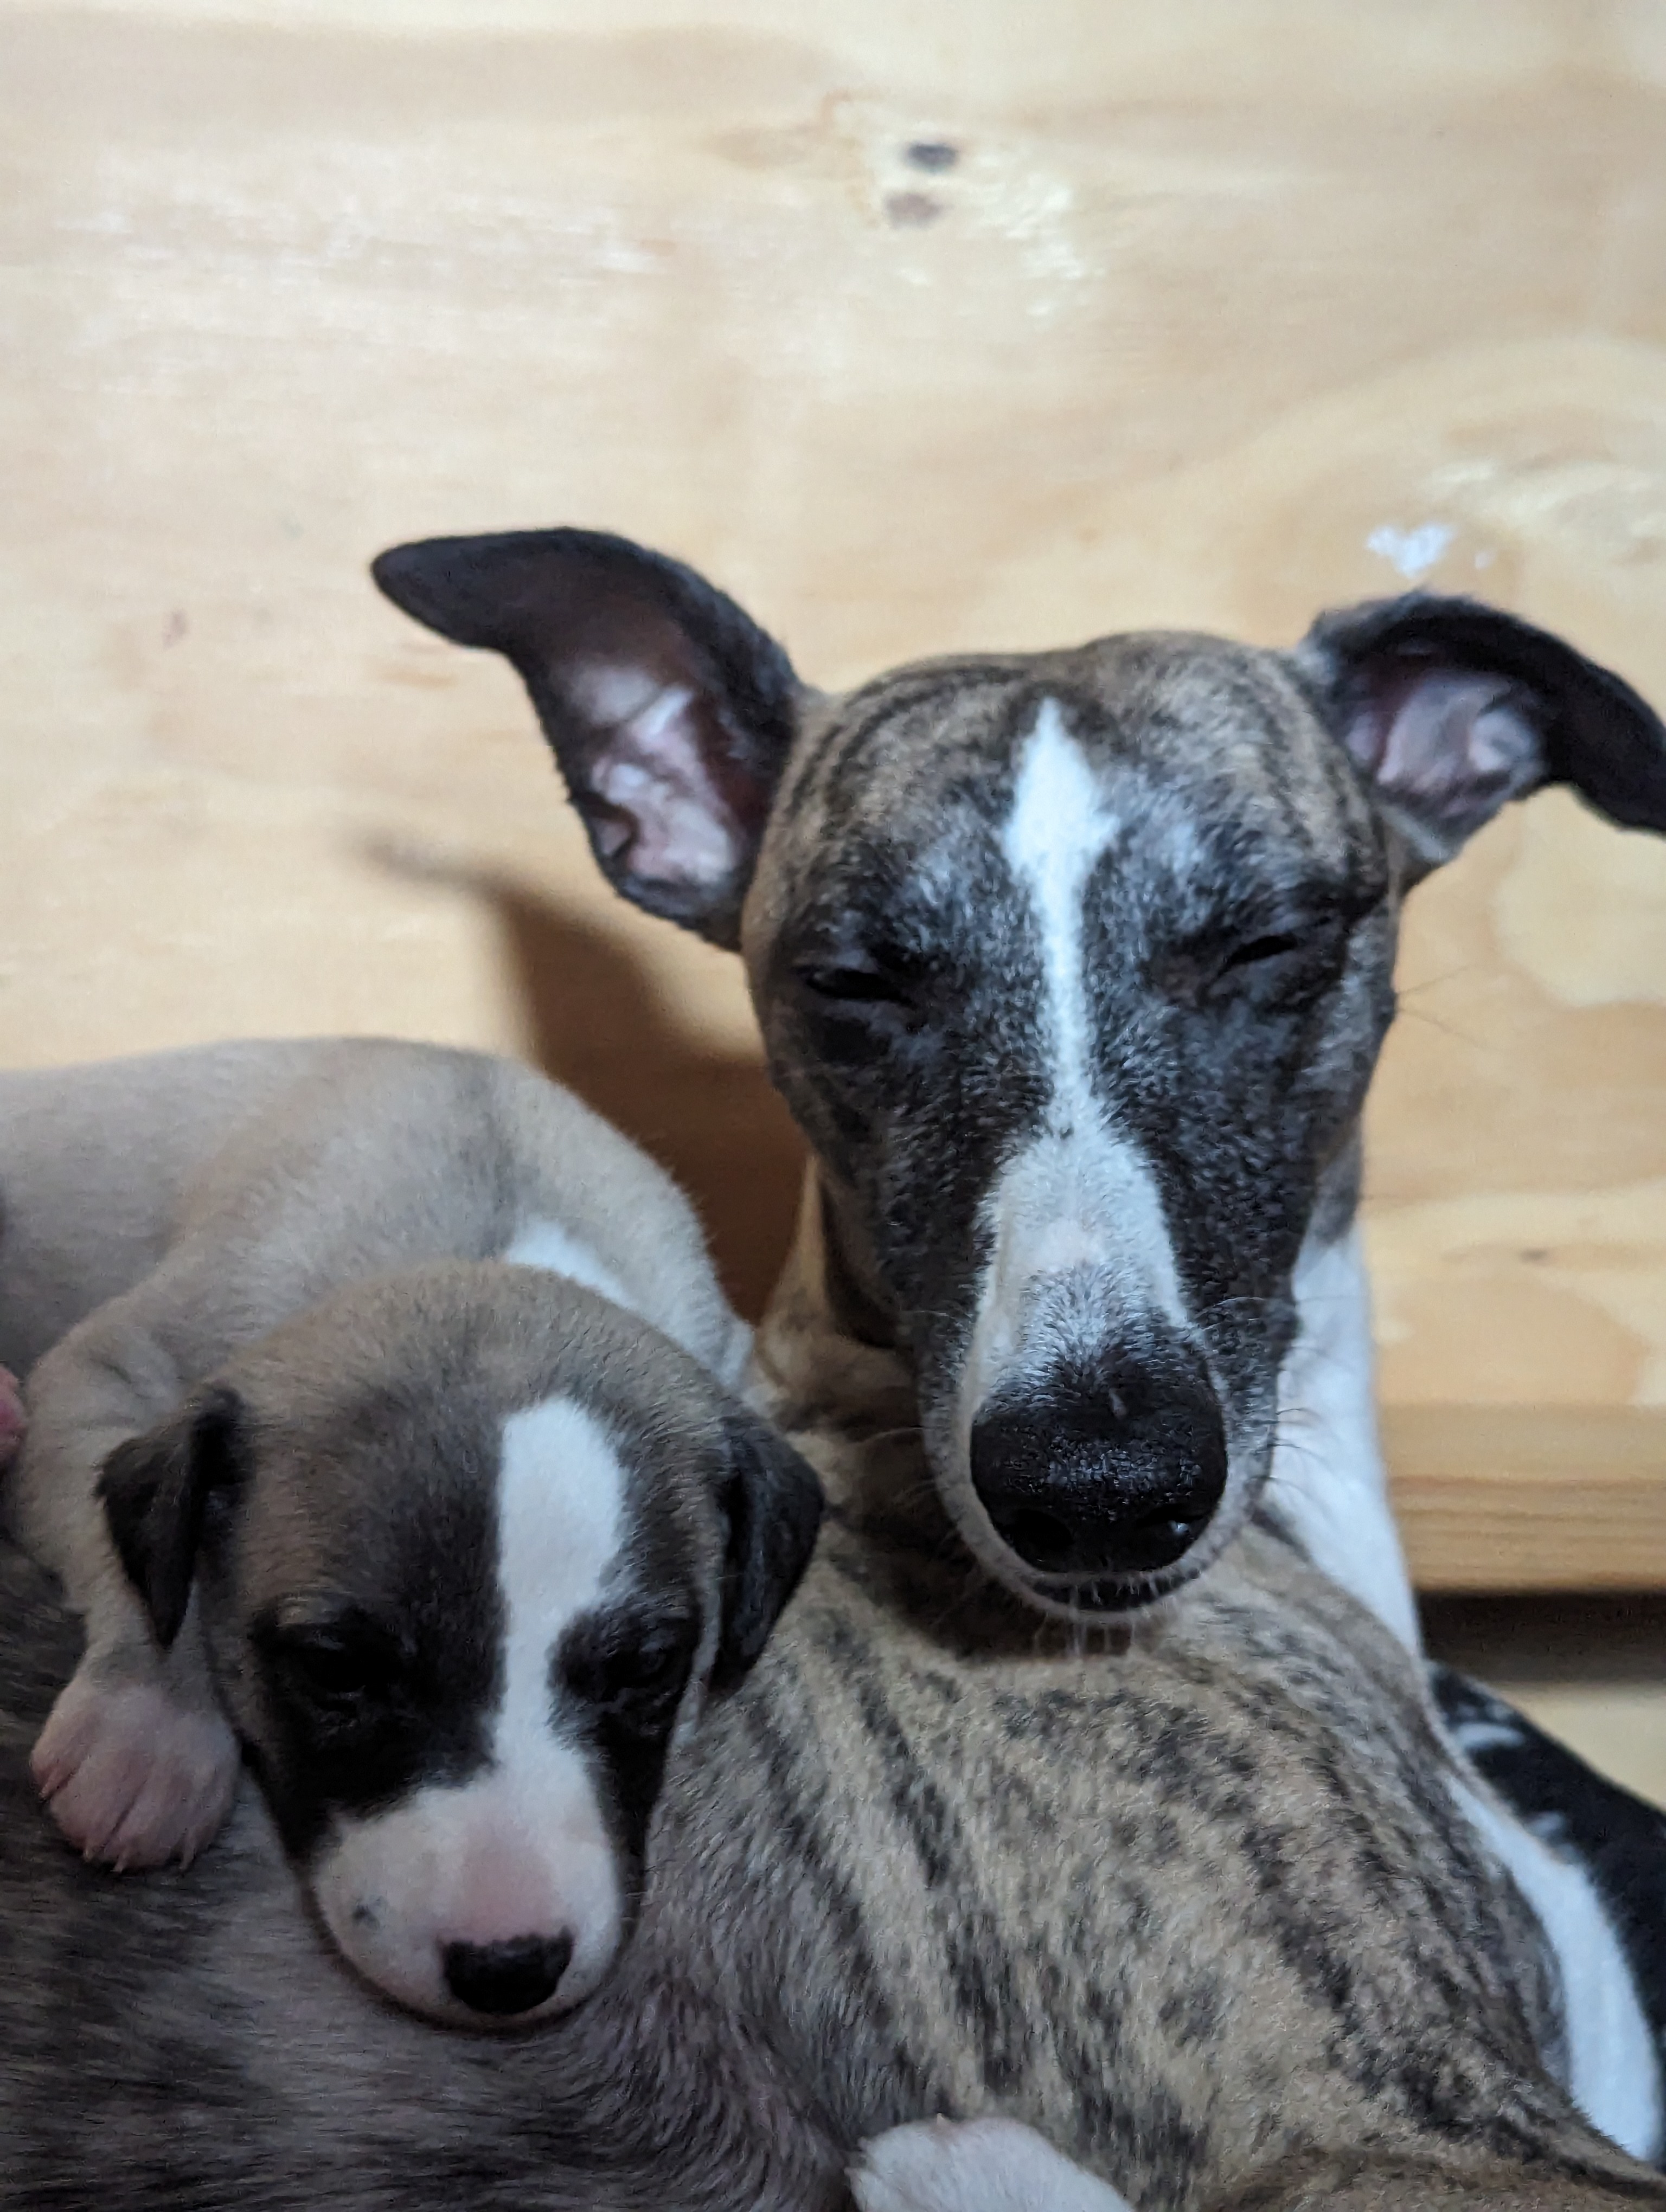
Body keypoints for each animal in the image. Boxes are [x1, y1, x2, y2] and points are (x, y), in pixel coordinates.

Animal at [0, 1035, 823, 2026]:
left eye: (648, 1667)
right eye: (334, 1668)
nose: (509, 1970)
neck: (481, 1247)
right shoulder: (104, 1371)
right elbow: (143, 1559)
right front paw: (151, 1722)